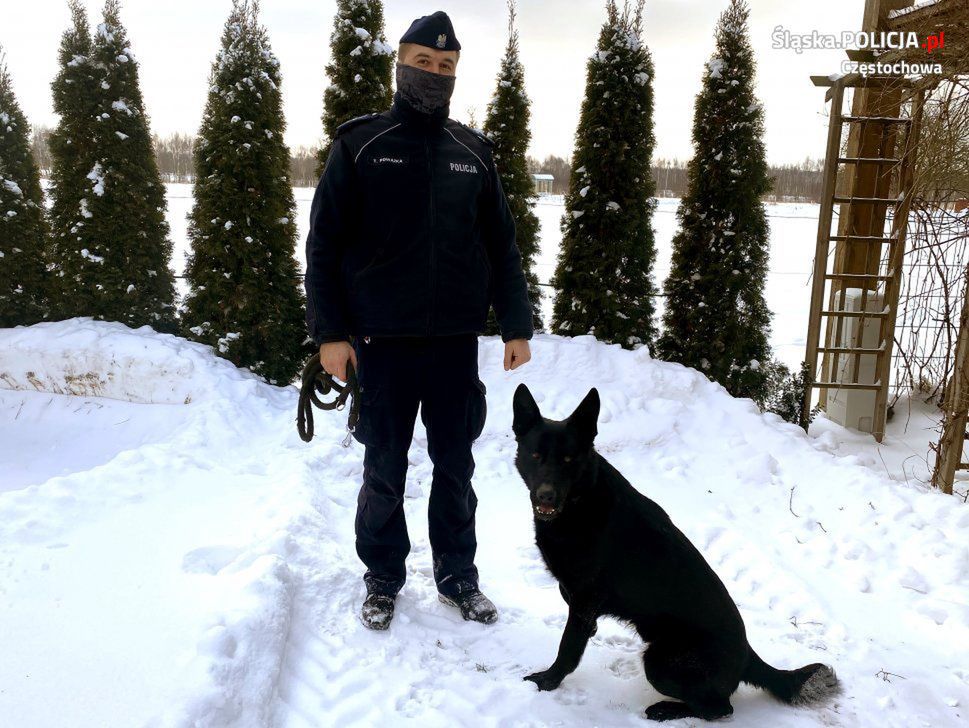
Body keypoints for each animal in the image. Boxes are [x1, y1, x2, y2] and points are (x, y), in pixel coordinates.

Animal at [516, 384, 840, 720]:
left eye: (568, 459)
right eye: (536, 455)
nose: (546, 496)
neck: (580, 502)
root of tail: (748, 655)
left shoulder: (584, 599)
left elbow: (567, 648)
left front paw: (548, 681)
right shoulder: (580, 598)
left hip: (660, 662)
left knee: (720, 708)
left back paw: (666, 710)